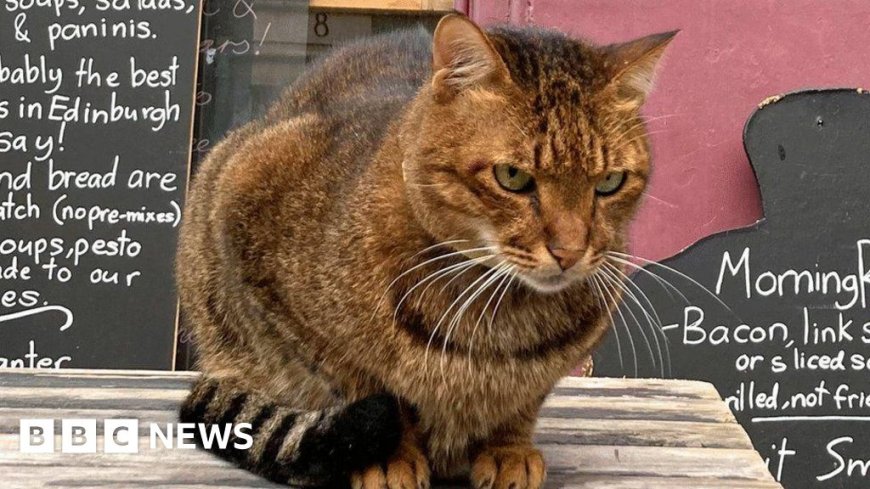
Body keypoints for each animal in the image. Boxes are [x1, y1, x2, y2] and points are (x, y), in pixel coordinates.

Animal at [177, 14, 676, 488]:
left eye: (609, 182)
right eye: (512, 177)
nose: (569, 251)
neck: (500, 320)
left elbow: (522, 402)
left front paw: (508, 449)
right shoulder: (254, 225)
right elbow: (364, 382)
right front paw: (391, 456)